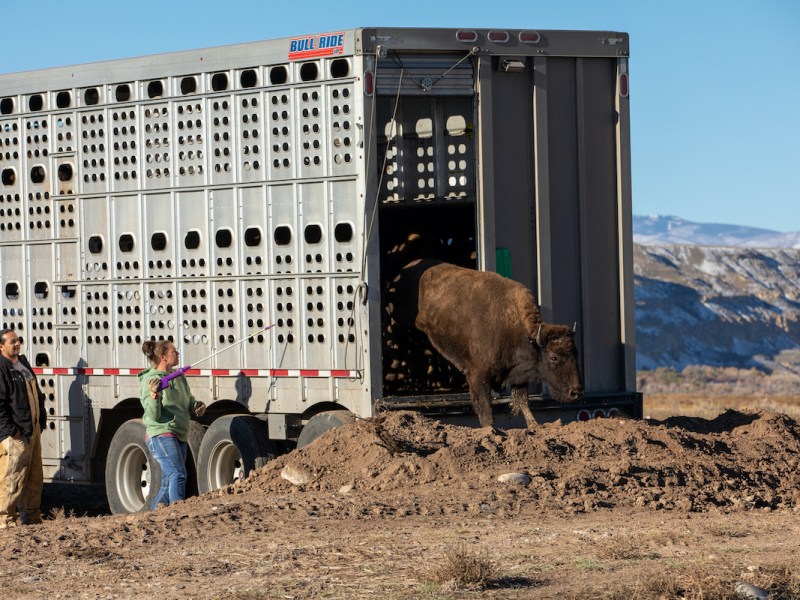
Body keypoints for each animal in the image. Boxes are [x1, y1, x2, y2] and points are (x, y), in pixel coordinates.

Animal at [386, 259, 583, 428]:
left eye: (575, 353)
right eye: (554, 357)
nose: (576, 392)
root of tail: (402, 272)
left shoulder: (519, 376)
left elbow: (522, 401)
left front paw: (535, 425)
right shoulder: (478, 376)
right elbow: (486, 409)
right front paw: (491, 430)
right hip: (401, 327)